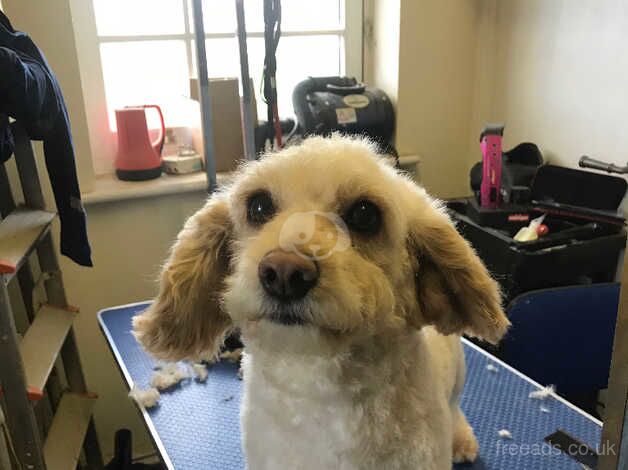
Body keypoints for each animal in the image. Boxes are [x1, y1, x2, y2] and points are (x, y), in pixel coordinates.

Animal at [134, 135, 510, 470]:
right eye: (258, 205)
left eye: (365, 214)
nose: (284, 273)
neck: (319, 388)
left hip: (457, 376)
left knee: (456, 406)